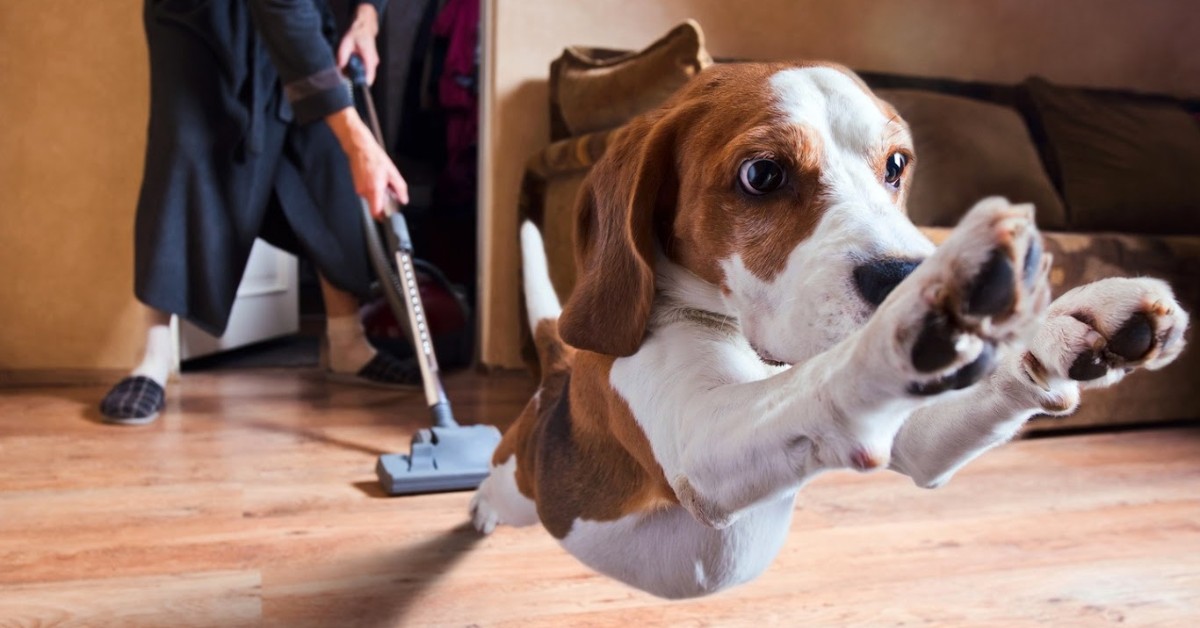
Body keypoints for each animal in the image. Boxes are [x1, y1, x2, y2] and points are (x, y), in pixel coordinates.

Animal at [468, 63, 1190, 600]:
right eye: (761, 174)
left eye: (896, 165)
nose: (906, 272)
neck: (745, 346)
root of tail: (557, 375)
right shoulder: (700, 440)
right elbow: (830, 375)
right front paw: (926, 310)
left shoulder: (911, 438)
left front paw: (1068, 325)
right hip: (521, 483)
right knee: (495, 481)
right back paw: (477, 508)